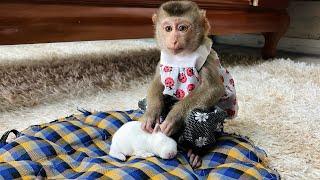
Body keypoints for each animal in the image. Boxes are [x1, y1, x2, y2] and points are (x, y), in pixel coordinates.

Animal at [141, 0, 238, 168]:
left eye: (182, 28)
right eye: (168, 28)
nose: (173, 40)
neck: (181, 57)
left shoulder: (207, 59)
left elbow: (213, 88)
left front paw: (173, 118)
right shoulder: (163, 60)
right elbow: (158, 82)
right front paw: (151, 114)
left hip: (217, 125)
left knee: (198, 114)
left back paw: (196, 153)